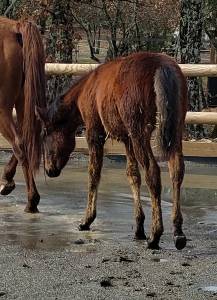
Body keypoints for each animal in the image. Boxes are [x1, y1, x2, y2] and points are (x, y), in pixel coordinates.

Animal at [36, 52, 187, 250]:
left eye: (46, 133)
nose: (49, 170)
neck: (87, 88)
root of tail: (161, 65)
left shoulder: (95, 133)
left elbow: (94, 174)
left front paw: (86, 220)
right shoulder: (127, 140)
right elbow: (133, 175)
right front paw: (138, 227)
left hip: (140, 133)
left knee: (152, 172)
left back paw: (155, 234)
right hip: (174, 131)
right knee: (176, 171)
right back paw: (178, 232)